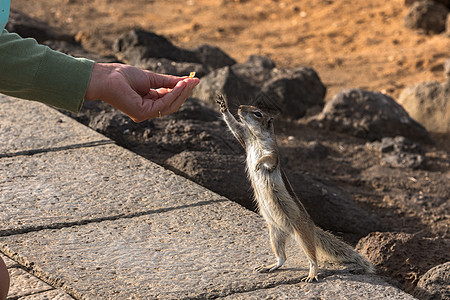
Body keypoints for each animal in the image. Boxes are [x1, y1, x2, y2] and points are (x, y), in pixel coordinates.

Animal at [216, 93, 374, 282]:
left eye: (258, 113)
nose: (240, 107)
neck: (255, 136)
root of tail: (311, 227)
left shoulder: (273, 153)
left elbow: (268, 159)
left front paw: (258, 164)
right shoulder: (244, 137)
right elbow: (233, 126)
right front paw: (223, 106)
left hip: (302, 234)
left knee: (312, 258)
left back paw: (312, 274)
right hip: (274, 234)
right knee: (282, 257)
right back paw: (270, 266)